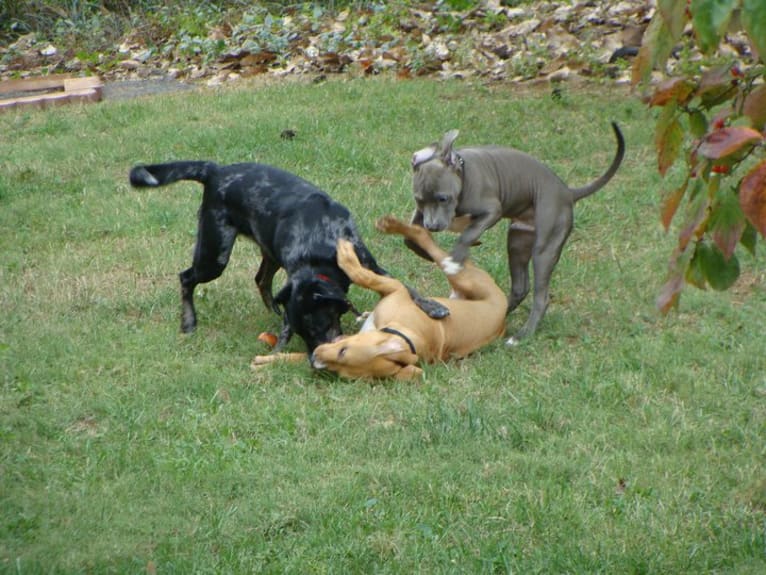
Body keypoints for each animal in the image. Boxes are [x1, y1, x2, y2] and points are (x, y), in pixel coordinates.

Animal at [130, 160, 396, 354]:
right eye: (302, 332)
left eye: (320, 325)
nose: (315, 359)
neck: (319, 252)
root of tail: (215, 170)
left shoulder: (369, 265)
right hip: (214, 255)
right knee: (186, 278)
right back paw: (188, 322)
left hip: (265, 253)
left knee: (260, 279)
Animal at [252, 214, 510, 380]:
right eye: (342, 351)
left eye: (339, 370)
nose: (315, 359)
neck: (405, 335)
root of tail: (503, 319)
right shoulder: (394, 289)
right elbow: (365, 275)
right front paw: (269, 361)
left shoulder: (394, 289)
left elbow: (360, 274)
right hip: (463, 280)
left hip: (462, 276)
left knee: (425, 237)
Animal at [408, 123, 624, 344]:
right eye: (419, 199)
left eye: (443, 198)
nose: (432, 226)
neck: (463, 173)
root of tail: (567, 192)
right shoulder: (419, 217)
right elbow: (411, 241)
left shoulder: (492, 211)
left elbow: (467, 234)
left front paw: (455, 260)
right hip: (517, 243)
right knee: (521, 287)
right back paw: (498, 314)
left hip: (544, 249)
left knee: (541, 297)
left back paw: (522, 335)